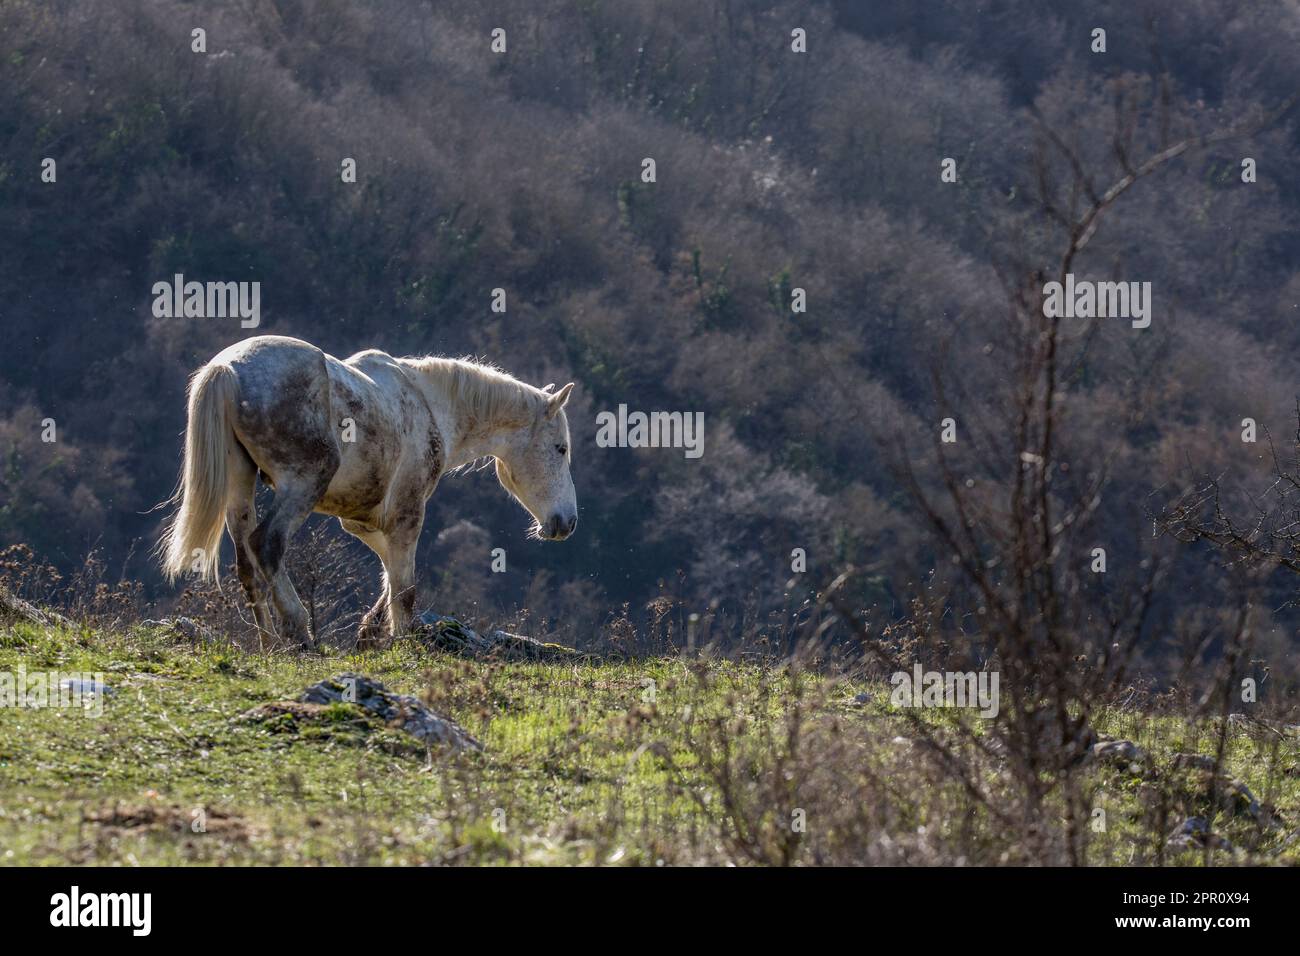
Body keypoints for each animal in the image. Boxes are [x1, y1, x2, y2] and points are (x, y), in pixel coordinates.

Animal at [159, 332, 577, 647]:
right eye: (561, 448)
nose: (567, 522)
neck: (430, 405)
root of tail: (227, 369)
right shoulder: (406, 515)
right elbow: (404, 587)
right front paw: (404, 641)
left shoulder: (363, 521)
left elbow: (389, 577)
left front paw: (371, 632)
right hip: (302, 484)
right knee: (267, 544)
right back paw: (299, 633)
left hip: (240, 486)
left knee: (247, 561)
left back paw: (269, 643)